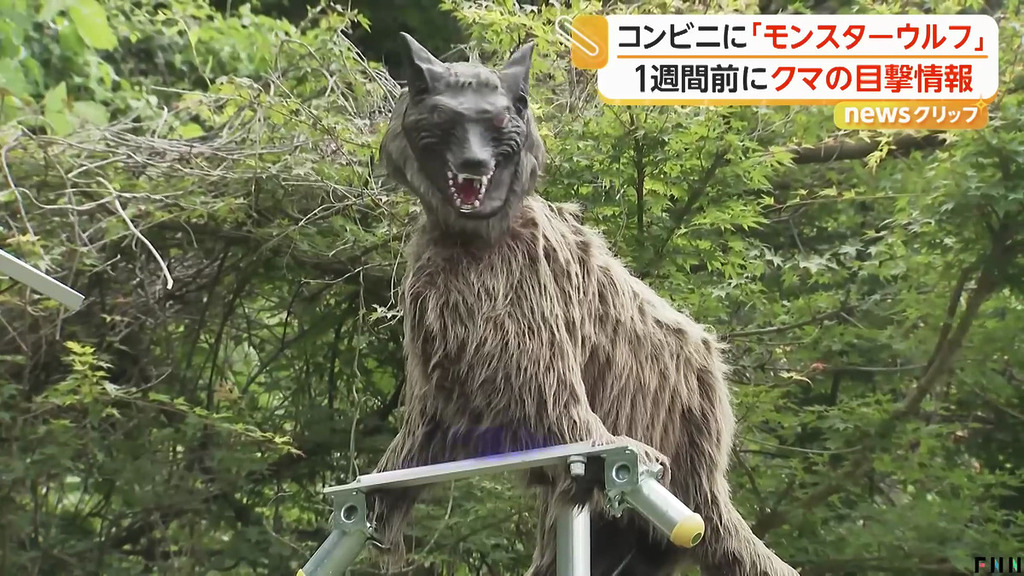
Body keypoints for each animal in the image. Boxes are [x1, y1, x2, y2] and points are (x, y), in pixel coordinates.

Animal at [367, 31, 801, 576]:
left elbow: (556, 399)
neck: (471, 241)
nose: (473, 165)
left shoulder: (530, 323)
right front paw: (382, 499)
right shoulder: (441, 372)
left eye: (499, 121)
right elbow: (412, 446)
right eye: (444, 118)